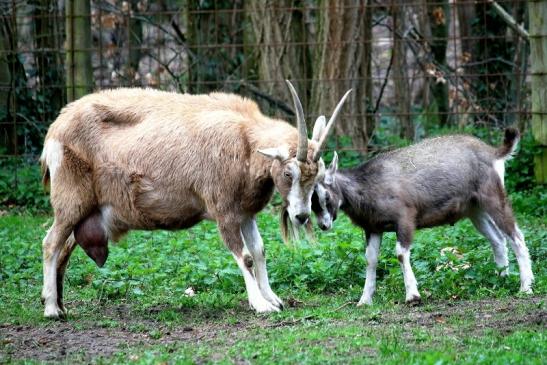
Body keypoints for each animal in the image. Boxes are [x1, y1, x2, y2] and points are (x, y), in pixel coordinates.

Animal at [40, 81, 354, 318]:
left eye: (317, 175)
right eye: (289, 172)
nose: (301, 216)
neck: (245, 141)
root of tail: (55, 129)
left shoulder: (245, 213)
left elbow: (260, 251)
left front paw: (273, 298)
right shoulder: (225, 213)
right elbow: (246, 256)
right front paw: (260, 305)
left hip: (86, 212)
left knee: (65, 248)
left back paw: (62, 306)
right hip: (70, 203)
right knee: (51, 243)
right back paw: (51, 309)